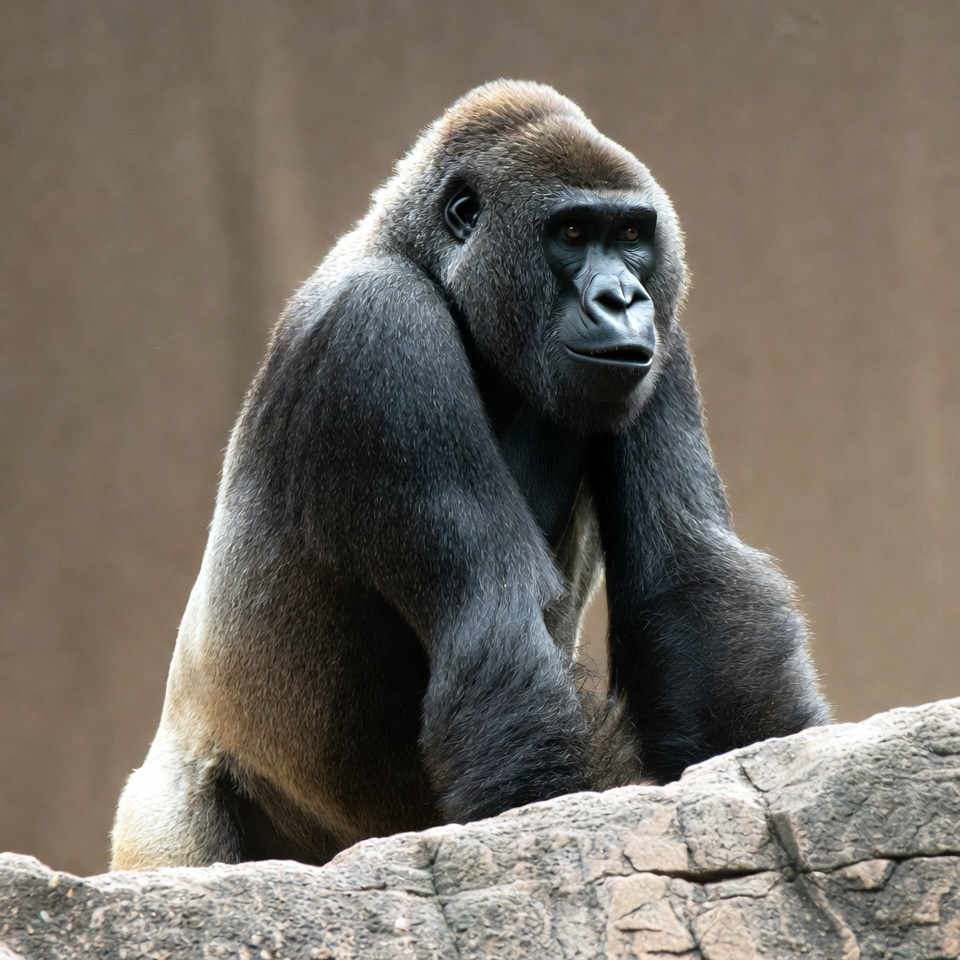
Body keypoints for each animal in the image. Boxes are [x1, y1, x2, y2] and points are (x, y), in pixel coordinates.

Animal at [111, 80, 830, 870]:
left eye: (630, 236)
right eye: (572, 233)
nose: (621, 299)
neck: (421, 256)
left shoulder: (663, 332)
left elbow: (688, 575)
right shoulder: (380, 332)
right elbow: (495, 616)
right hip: (167, 817)